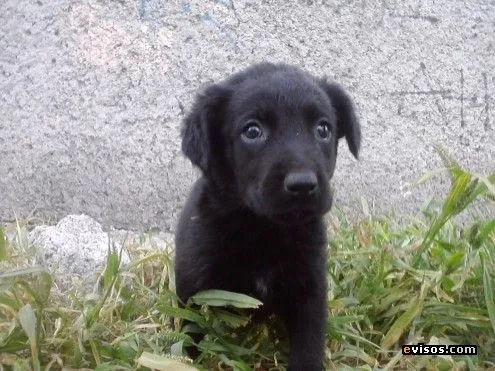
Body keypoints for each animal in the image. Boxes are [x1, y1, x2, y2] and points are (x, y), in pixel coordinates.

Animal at [175, 62, 360, 370]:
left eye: (323, 128)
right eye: (252, 131)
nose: (303, 185)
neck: (264, 230)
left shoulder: (310, 288)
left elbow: (309, 345)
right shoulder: (193, 287)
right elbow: (190, 335)